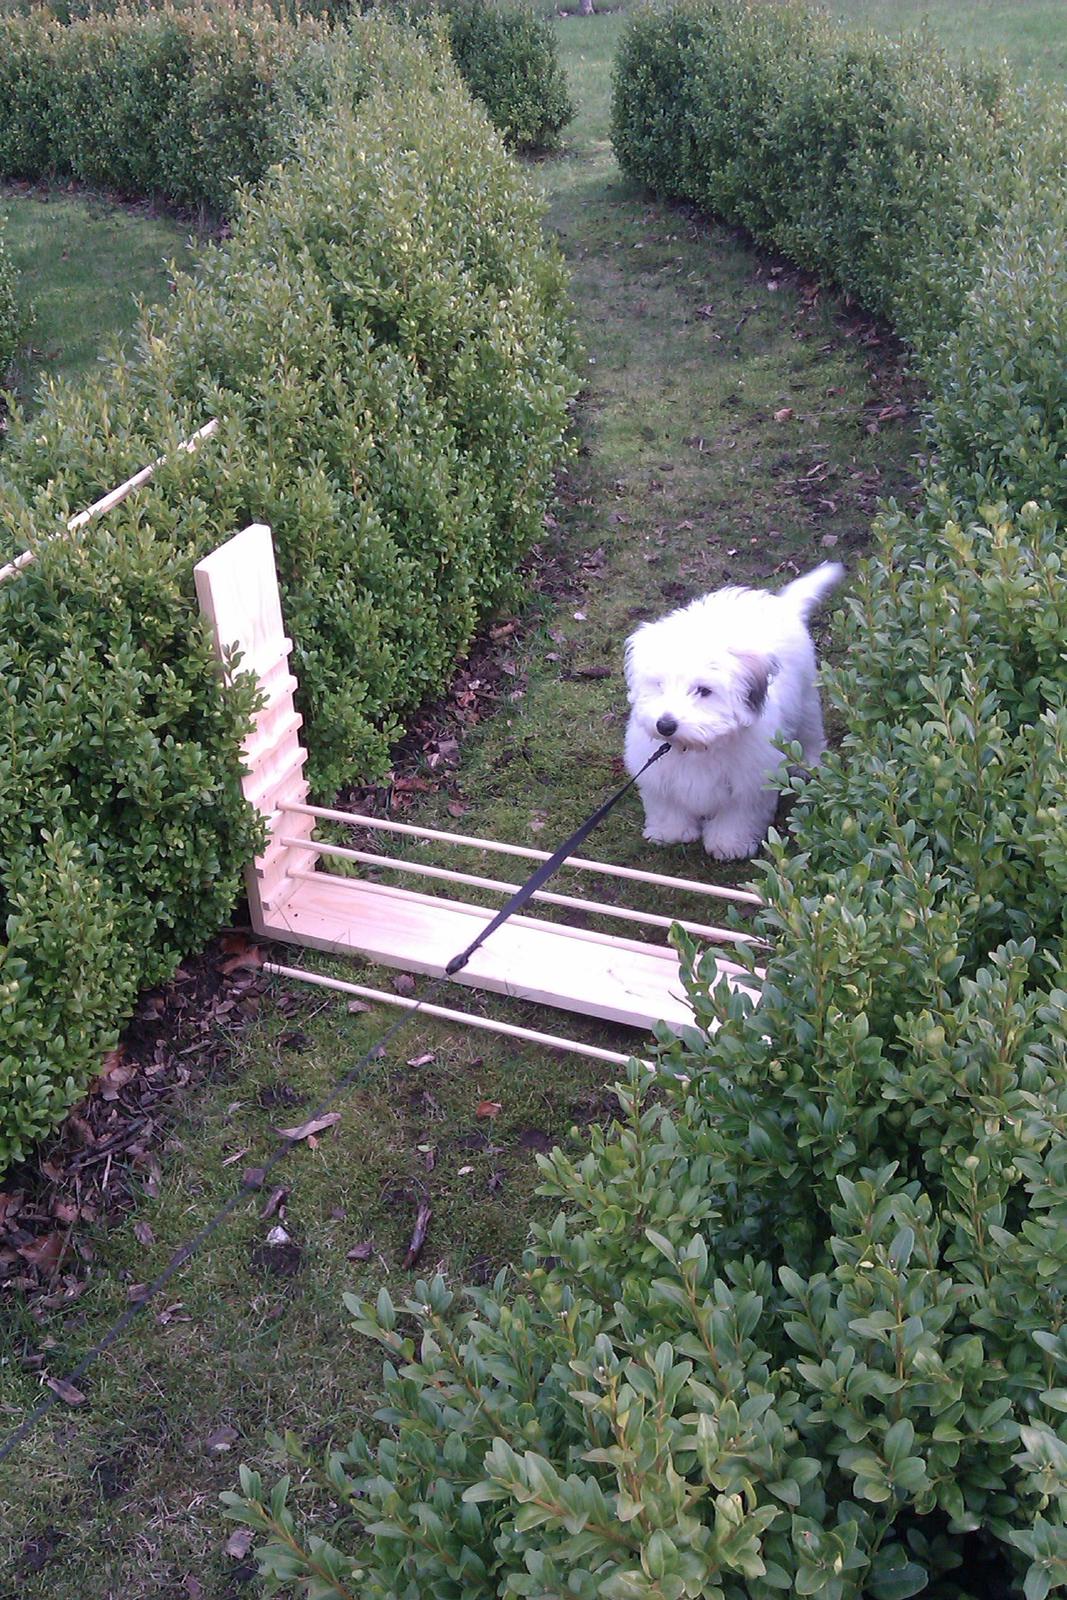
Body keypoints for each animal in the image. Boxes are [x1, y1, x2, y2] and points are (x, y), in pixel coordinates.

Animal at [627, 566, 844, 864]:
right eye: (659, 685)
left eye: (704, 691)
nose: (665, 725)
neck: (698, 747)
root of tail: (779, 605)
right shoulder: (657, 773)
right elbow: (667, 804)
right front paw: (671, 832)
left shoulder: (750, 781)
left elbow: (738, 815)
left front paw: (729, 844)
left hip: (806, 698)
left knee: (810, 731)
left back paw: (808, 764)